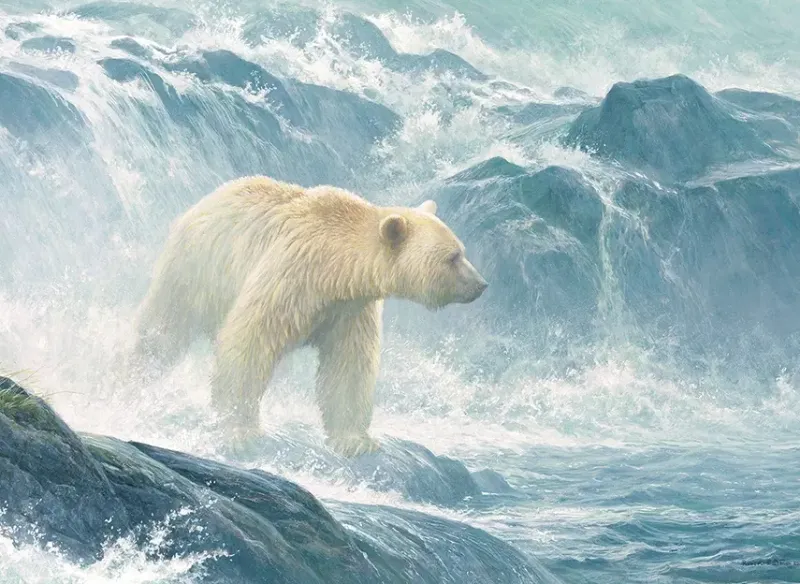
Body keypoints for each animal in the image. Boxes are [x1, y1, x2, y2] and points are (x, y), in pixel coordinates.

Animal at [131, 175, 488, 457]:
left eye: (462, 250)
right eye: (453, 257)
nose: (481, 285)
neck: (337, 268)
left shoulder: (350, 308)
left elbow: (349, 367)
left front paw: (355, 440)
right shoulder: (293, 274)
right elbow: (250, 341)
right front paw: (240, 431)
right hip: (194, 270)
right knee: (163, 329)